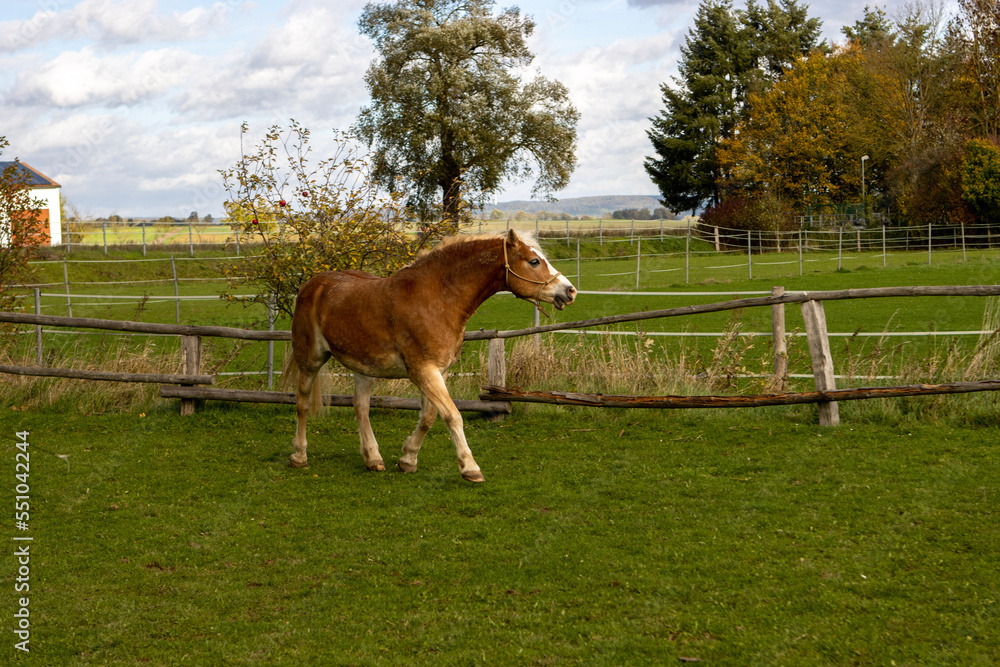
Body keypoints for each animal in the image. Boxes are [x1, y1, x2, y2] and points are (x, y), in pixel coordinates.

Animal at [282, 229, 577, 482]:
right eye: (534, 261)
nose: (570, 291)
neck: (437, 298)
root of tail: (312, 285)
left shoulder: (438, 371)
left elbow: (429, 417)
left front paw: (407, 459)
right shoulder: (424, 371)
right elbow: (452, 416)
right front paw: (470, 468)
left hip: (365, 367)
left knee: (361, 407)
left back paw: (373, 459)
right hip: (310, 359)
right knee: (302, 404)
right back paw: (299, 455)